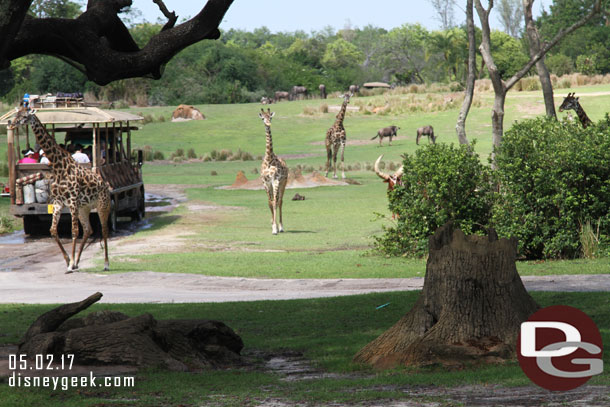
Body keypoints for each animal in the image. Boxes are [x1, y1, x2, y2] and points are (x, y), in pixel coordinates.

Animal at [8, 105, 110, 274]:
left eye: (25, 116)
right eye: (17, 114)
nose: (11, 123)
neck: (58, 166)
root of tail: (105, 184)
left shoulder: (72, 201)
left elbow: (74, 231)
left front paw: (69, 265)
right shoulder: (59, 203)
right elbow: (53, 231)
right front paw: (69, 261)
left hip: (102, 205)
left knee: (103, 229)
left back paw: (106, 264)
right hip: (84, 208)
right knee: (88, 230)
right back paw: (78, 262)